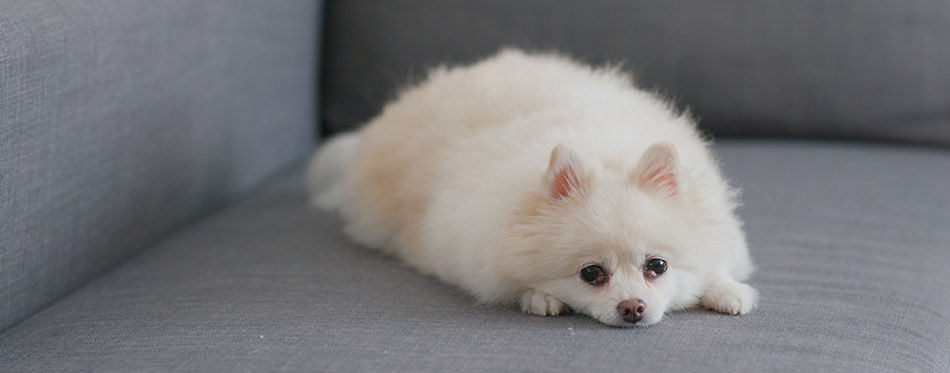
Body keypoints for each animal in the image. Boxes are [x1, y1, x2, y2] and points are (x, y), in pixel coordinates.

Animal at [310, 48, 760, 326]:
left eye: (657, 267)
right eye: (591, 274)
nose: (633, 307)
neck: (603, 152)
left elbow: (717, 261)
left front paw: (728, 290)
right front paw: (541, 297)